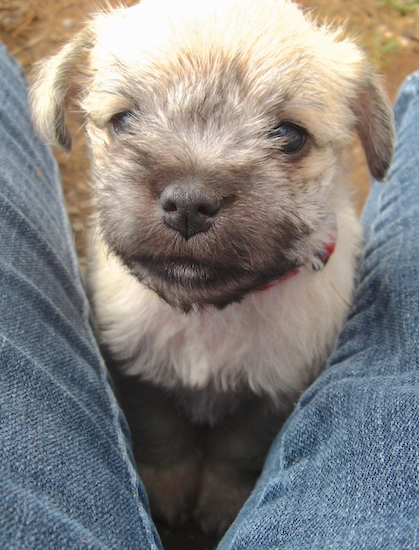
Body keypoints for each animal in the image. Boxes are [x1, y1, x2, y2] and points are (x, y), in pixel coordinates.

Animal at [31, 0, 396, 536]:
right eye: (122, 120)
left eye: (290, 137)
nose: (188, 203)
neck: (209, 316)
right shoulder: (140, 376)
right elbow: (163, 437)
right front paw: (167, 492)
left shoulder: (270, 396)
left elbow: (235, 456)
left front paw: (220, 507)